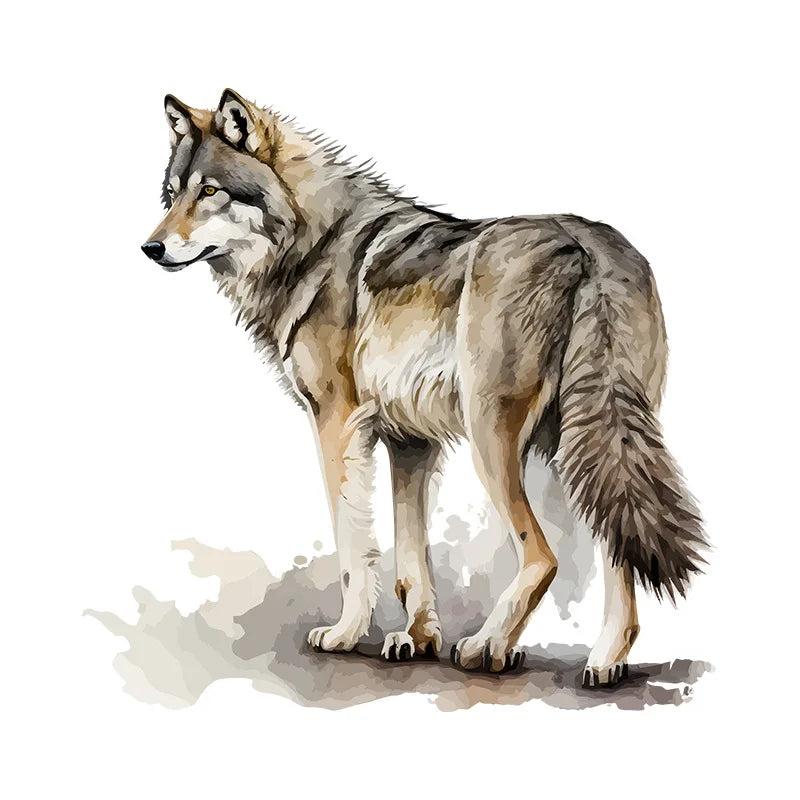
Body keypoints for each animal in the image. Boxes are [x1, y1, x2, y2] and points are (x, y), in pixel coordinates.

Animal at [142, 89, 706, 687]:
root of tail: (589, 241)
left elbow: (353, 548)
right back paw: (604, 662)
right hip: (587, 442)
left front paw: (346, 634)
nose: (149, 248)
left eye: (210, 192)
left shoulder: (337, 425)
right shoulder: (410, 443)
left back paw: (488, 646)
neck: (309, 242)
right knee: (618, 545)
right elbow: (411, 560)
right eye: (173, 193)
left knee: (543, 556)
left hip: (493, 439)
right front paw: (417, 639)